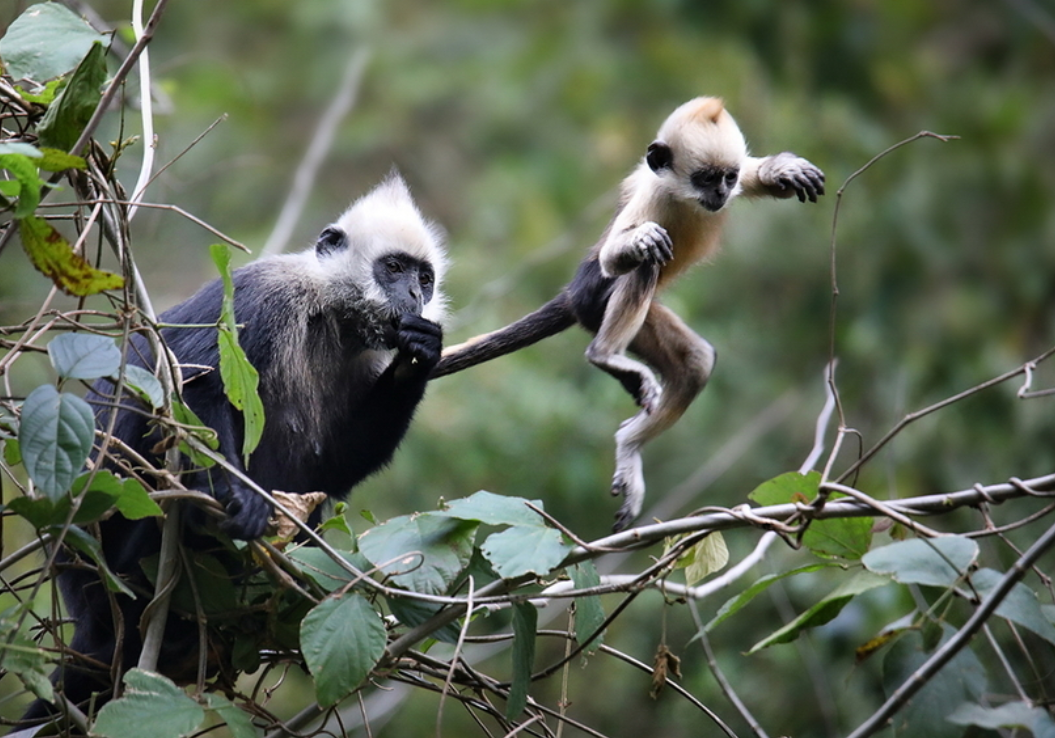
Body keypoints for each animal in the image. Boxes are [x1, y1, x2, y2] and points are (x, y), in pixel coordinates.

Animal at [23, 173, 445, 721]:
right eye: (393, 269)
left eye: (425, 278)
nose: (415, 294)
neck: (331, 315)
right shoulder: (261, 298)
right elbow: (193, 385)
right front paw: (237, 501)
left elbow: (330, 467)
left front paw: (419, 356)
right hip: (113, 577)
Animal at [430, 96, 822, 531]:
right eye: (704, 178)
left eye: (726, 177)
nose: (721, 193)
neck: (683, 198)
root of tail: (575, 291)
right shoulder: (653, 198)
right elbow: (620, 255)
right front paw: (637, 242)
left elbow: (753, 176)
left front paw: (780, 170)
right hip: (597, 302)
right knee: (644, 266)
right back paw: (606, 355)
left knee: (697, 361)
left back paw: (628, 443)